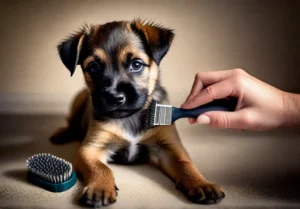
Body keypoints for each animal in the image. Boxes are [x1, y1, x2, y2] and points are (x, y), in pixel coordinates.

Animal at [51, 19, 225, 207]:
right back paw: (62, 134)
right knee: (72, 123)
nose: (115, 97)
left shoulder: (169, 147)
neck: (131, 117)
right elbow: (101, 168)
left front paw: (201, 183)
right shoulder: (90, 148)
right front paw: (100, 187)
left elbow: (185, 163)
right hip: (80, 99)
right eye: (94, 67)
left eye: (136, 64)